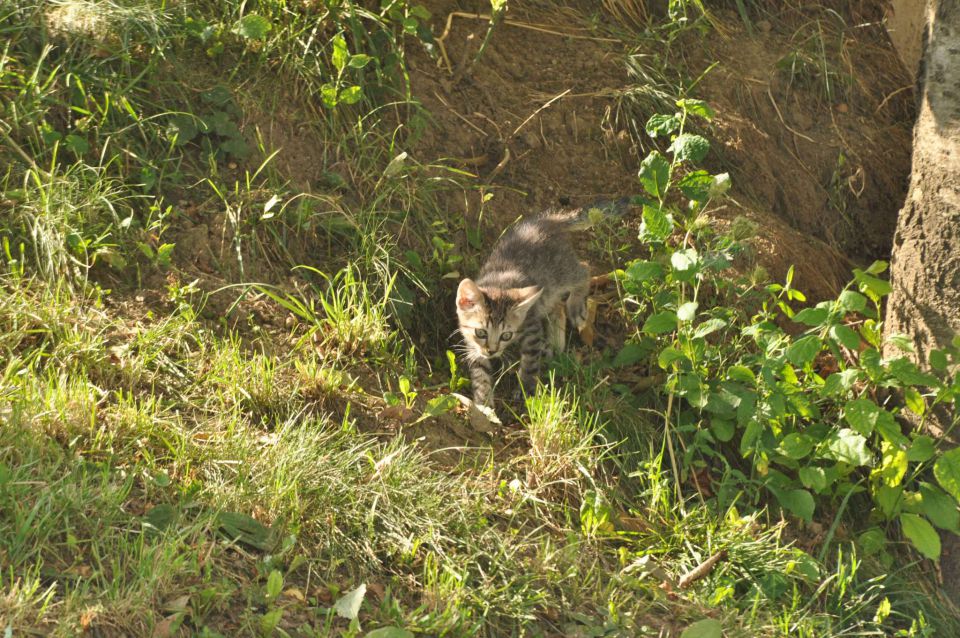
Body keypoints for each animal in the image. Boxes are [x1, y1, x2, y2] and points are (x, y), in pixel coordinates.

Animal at [458, 198, 632, 412]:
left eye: (506, 335)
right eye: (481, 332)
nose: (492, 351)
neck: (499, 285)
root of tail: (549, 220)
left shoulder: (531, 326)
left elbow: (530, 360)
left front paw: (526, 387)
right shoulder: (473, 345)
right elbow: (479, 372)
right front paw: (483, 403)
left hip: (562, 273)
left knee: (584, 269)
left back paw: (576, 308)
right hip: (549, 290)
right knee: (556, 306)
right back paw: (554, 343)